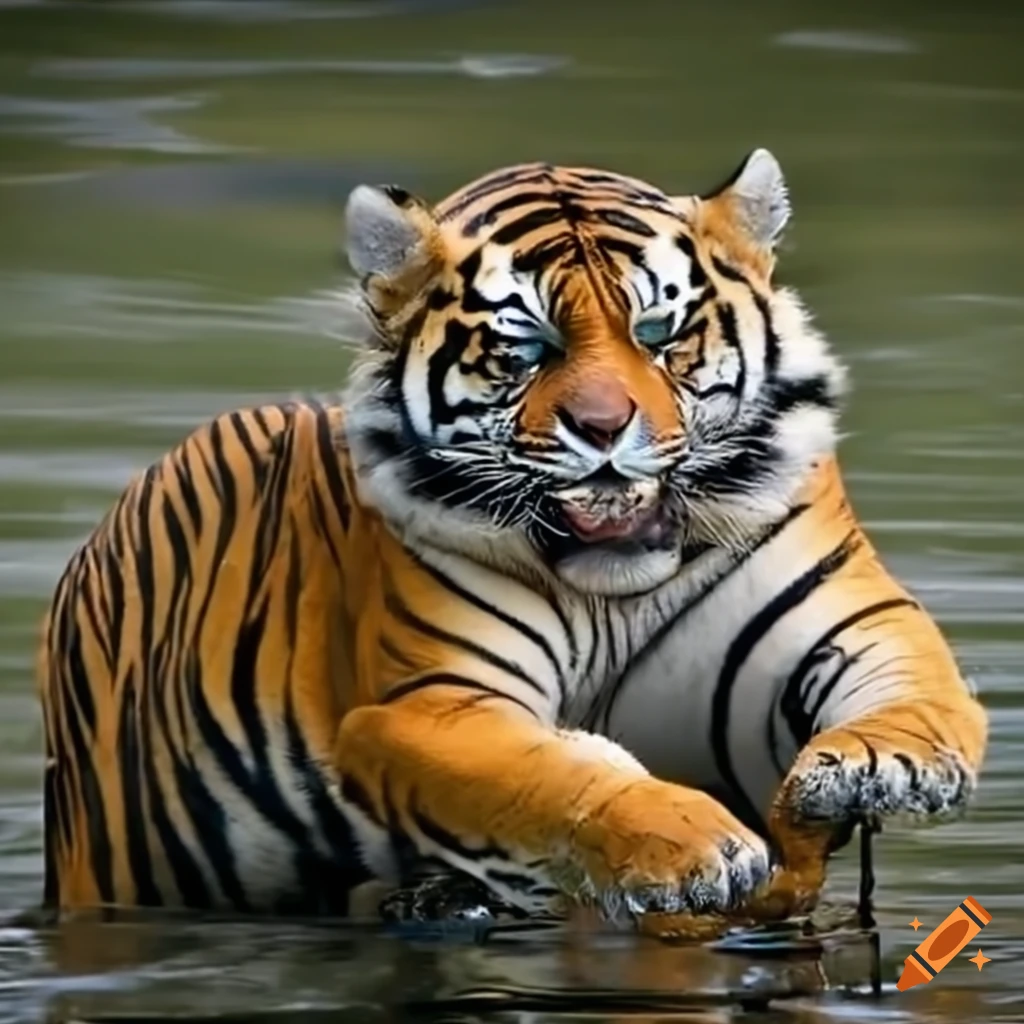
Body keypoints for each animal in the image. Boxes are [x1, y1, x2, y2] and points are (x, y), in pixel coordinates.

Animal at [37, 149, 988, 927]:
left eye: (657, 333)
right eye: (529, 348)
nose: (604, 428)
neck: (613, 585)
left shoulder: (855, 617)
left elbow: (915, 686)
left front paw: (881, 764)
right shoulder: (430, 703)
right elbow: (558, 777)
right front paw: (693, 848)